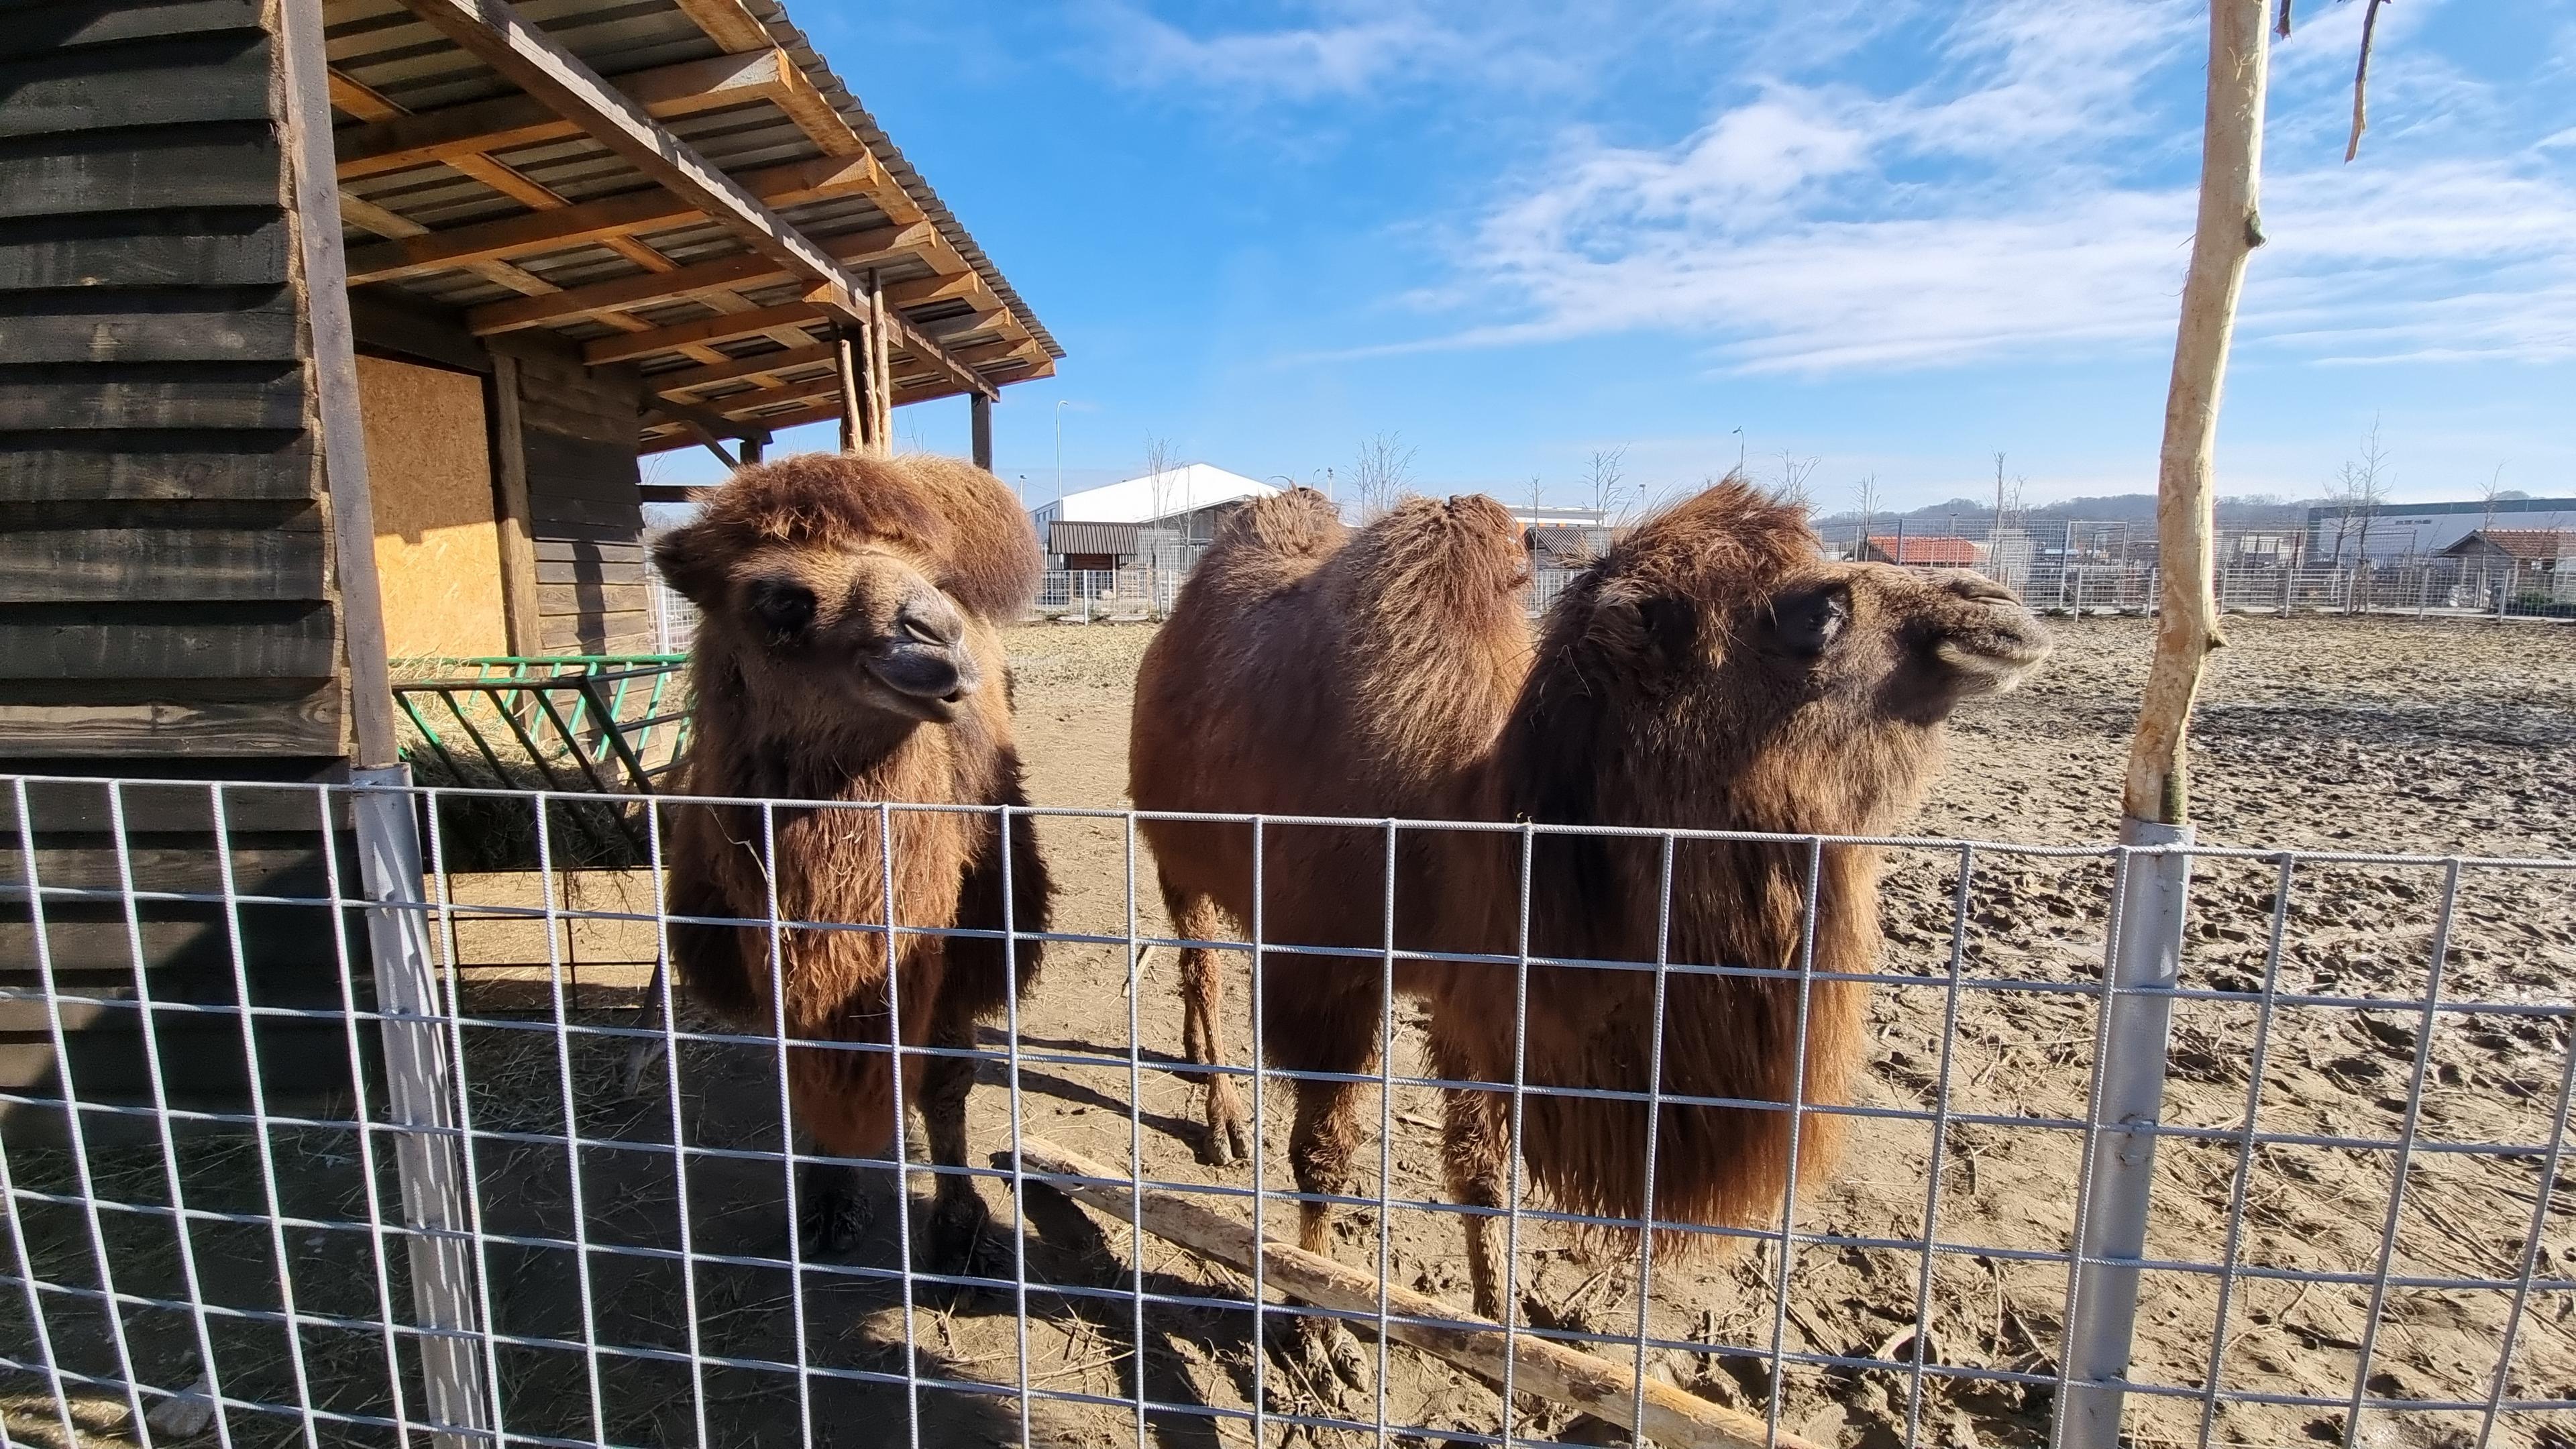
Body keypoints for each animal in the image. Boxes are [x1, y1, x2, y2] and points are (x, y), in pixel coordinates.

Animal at [659, 451, 1051, 1263]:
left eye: (937, 578)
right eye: (780, 600)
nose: (939, 636)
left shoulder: (956, 953)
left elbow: (944, 1083)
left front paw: (960, 1228)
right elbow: (800, 1073)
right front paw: (829, 1197)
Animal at [1128, 477, 2050, 1361]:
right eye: (1816, 614)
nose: (2001, 613)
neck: (1458, 828)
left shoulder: (1476, 993)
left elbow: (1482, 1170)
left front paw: (1502, 1326)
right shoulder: (1328, 976)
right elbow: (1322, 1154)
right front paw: (1315, 1324)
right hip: (1173, 852)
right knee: (1200, 967)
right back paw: (1223, 1116)